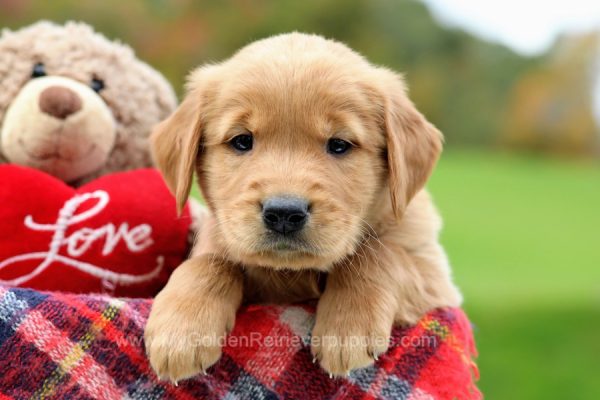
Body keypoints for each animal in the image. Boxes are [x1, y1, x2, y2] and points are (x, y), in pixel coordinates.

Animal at [143, 32, 462, 382]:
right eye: (241, 141)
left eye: (339, 145)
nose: (284, 213)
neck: (293, 273)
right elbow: (210, 263)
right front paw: (180, 332)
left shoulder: (433, 274)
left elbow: (377, 255)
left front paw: (347, 328)